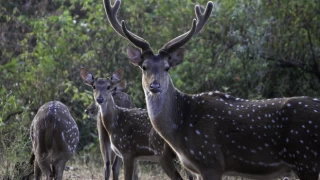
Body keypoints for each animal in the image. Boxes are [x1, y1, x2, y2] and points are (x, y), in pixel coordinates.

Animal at [102, 0, 320, 179]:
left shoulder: (210, 161)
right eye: (144, 66)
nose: (154, 86)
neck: (181, 128)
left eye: (167, 67)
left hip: (305, 159)